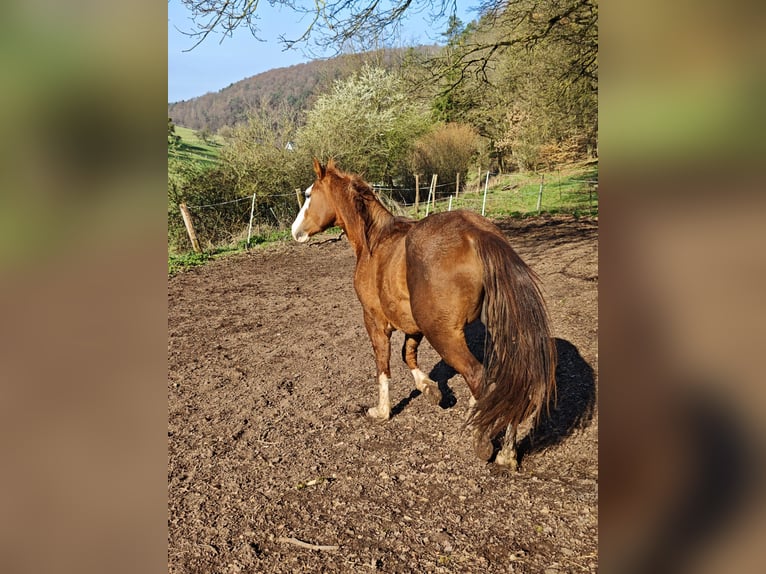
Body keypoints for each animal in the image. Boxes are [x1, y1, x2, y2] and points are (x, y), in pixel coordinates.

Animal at [291, 158, 556, 468]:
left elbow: (383, 364)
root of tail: (477, 233)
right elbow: (407, 354)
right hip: (497, 333)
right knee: (511, 381)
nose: (295, 231)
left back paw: (482, 440)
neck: (375, 241)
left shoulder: (374, 321)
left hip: (444, 335)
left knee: (479, 377)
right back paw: (507, 454)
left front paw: (382, 411)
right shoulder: (413, 324)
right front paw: (430, 389)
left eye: (308, 194)